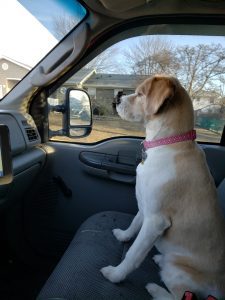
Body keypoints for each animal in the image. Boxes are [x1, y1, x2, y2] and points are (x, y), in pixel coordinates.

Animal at [101, 74, 225, 300]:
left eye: (140, 94)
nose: (118, 96)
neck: (168, 144)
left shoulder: (155, 221)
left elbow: (134, 253)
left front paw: (115, 274)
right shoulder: (145, 207)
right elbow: (134, 224)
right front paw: (123, 235)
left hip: (177, 272)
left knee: (178, 295)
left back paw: (155, 289)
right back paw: (159, 259)